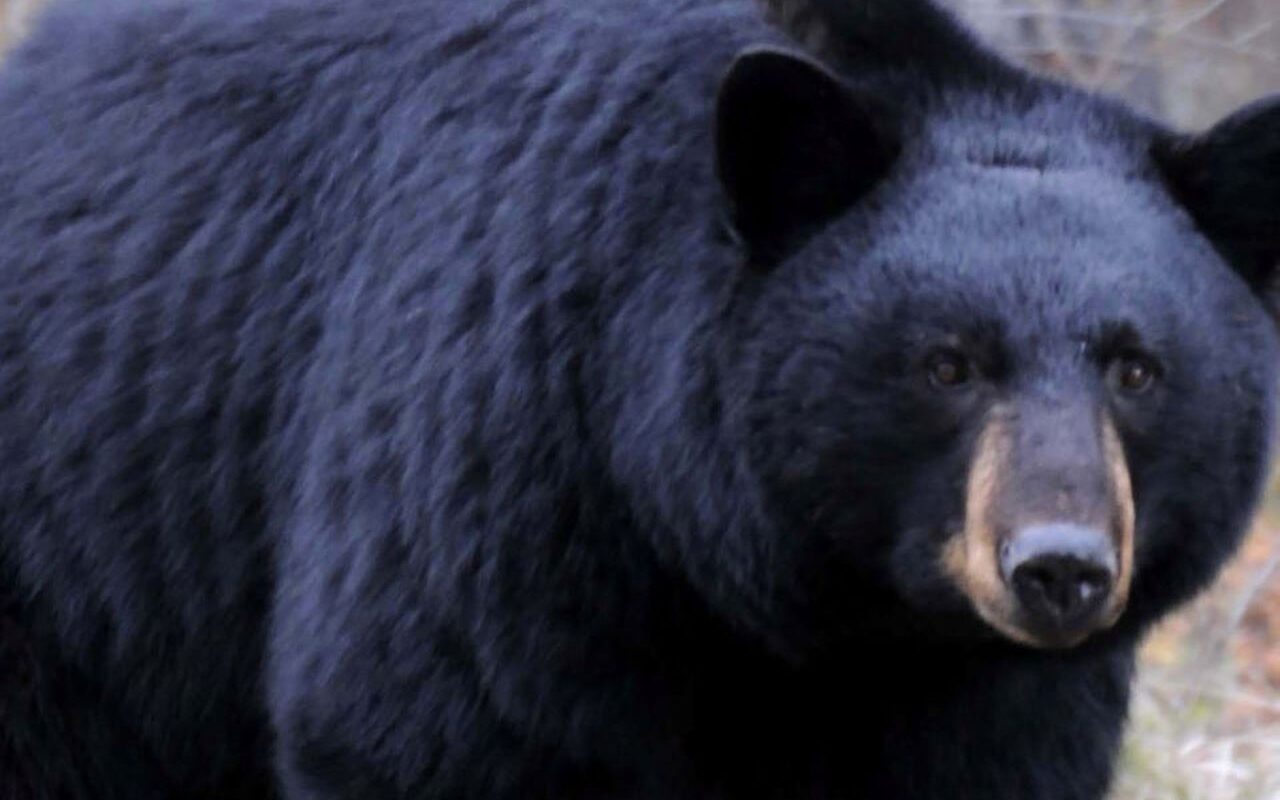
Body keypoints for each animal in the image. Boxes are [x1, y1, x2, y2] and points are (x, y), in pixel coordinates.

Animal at [0, 0, 1278, 797]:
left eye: (1135, 368)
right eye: (945, 363)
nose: (1057, 567)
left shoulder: (994, 694)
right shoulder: (505, 476)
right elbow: (428, 726)